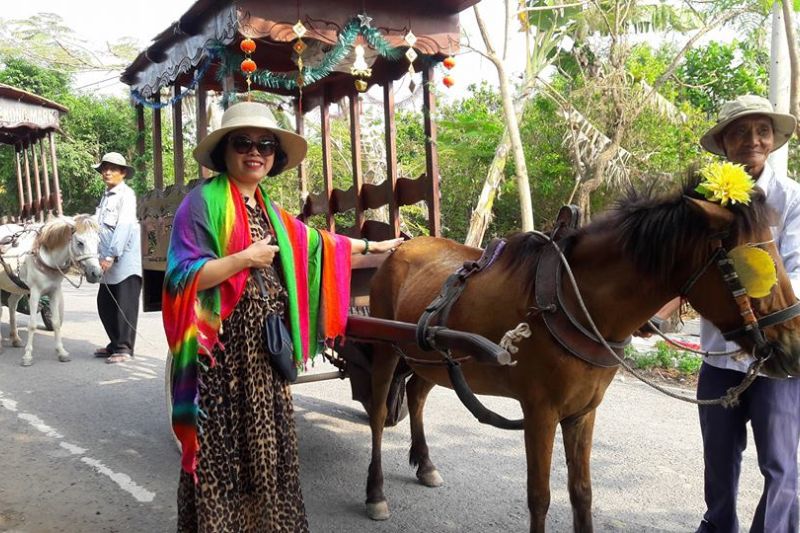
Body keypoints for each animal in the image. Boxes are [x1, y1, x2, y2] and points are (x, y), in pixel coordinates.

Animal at [0, 215, 103, 366]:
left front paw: (61, 352)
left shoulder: (54, 291)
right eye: (80, 243)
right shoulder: (35, 292)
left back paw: (15, 338)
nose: (96, 273)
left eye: (98, 242)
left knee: (12, 304)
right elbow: (32, 325)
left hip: (16, 286)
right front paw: (27, 356)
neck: (46, 257)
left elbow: (56, 322)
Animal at [363, 179, 800, 532]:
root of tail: (404, 245)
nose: (793, 348)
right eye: (755, 266)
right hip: (385, 350)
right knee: (379, 414)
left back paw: (425, 463)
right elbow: (540, 496)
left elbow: (582, 492)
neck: (570, 300)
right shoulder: (540, 411)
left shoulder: (583, 411)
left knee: (416, 395)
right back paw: (375, 491)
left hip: (430, 358)